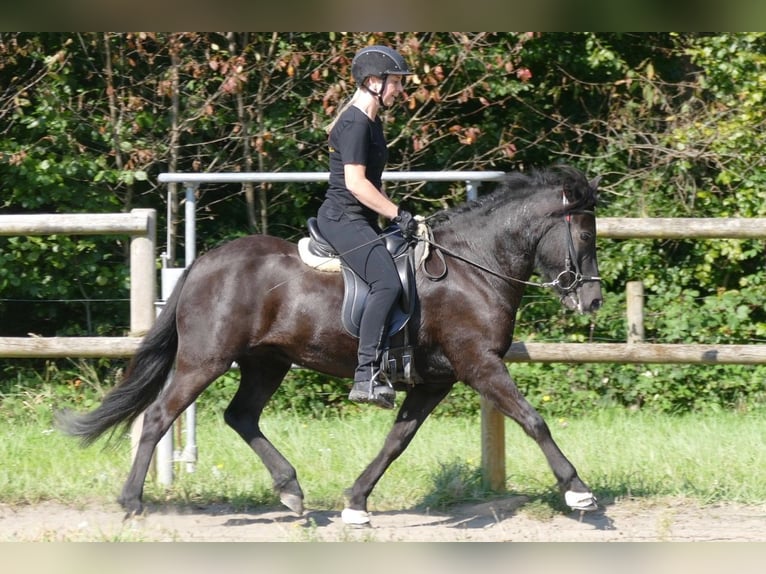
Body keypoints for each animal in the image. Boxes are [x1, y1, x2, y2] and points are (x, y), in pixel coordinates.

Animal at [58, 163, 608, 528]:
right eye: (584, 234)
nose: (593, 299)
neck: (472, 266)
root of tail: (204, 263)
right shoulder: (478, 364)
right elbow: (533, 420)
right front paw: (579, 493)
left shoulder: (435, 380)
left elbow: (396, 441)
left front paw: (356, 502)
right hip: (204, 360)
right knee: (158, 417)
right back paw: (132, 503)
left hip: (266, 363)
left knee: (241, 416)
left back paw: (292, 493)